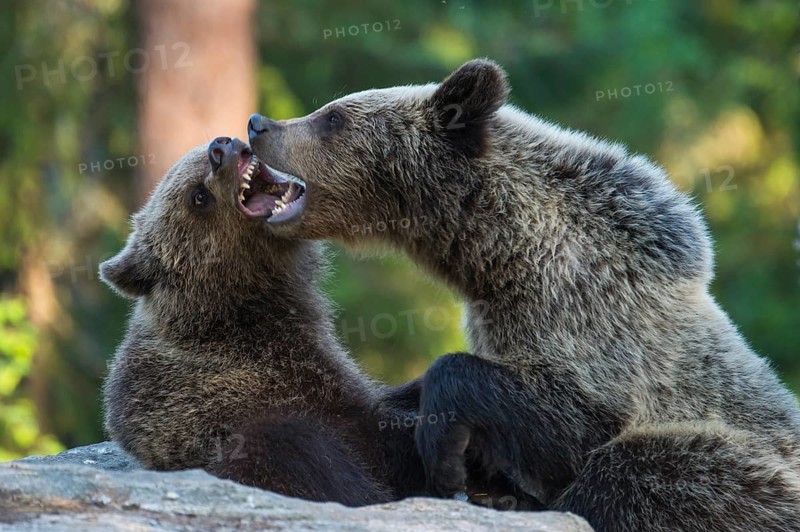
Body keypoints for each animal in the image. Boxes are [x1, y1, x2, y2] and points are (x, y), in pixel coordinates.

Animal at [246, 59, 800, 530]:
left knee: (635, 475)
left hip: (743, 474)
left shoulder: (595, 330)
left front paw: (445, 455)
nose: (258, 124)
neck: (504, 258)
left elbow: (561, 425)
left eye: (333, 117)